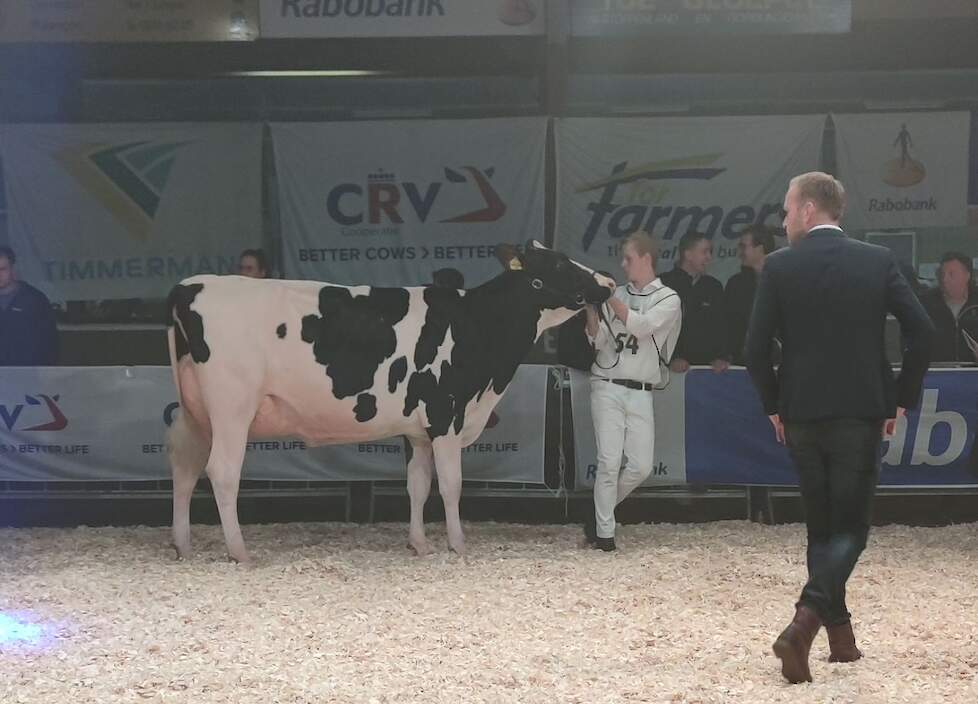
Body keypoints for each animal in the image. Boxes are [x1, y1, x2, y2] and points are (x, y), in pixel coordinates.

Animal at [167, 241, 608, 560]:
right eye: (559, 263)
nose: (606, 281)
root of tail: (188, 286)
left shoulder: (417, 430)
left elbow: (418, 484)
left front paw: (420, 544)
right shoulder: (446, 414)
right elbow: (451, 484)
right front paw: (458, 544)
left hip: (196, 414)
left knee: (184, 468)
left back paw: (183, 545)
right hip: (232, 409)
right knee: (222, 472)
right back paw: (239, 552)